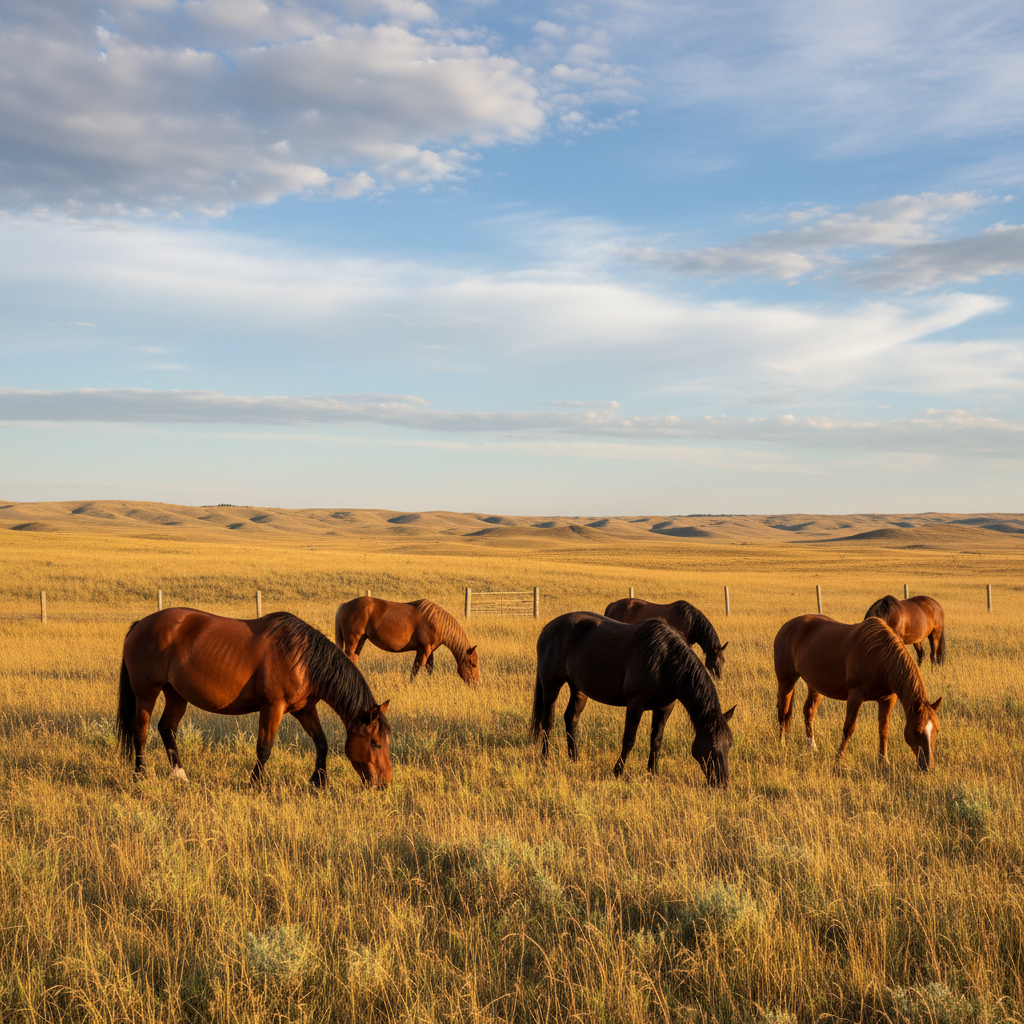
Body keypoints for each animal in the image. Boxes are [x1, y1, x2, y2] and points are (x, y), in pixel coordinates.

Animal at [117, 609, 392, 788]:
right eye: (376, 744)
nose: (385, 783)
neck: (302, 658)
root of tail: (141, 624)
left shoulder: (304, 710)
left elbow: (321, 742)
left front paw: (319, 781)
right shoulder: (272, 708)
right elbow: (264, 748)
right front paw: (254, 784)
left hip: (176, 695)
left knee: (167, 728)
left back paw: (180, 776)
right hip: (146, 693)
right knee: (141, 732)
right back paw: (139, 775)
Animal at [335, 597, 479, 683]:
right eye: (473, 665)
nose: (476, 683)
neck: (435, 621)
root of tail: (344, 605)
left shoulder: (429, 651)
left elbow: (429, 668)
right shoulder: (424, 650)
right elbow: (416, 669)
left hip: (360, 641)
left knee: (354, 658)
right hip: (353, 640)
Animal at [530, 612, 736, 786]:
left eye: (729, 745)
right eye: (713, 747)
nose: (723, 783)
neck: (663, 661)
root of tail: (548, 628)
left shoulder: (664, 707)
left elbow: (656, 740)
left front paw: (653, 772)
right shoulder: (635, 704)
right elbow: (629, 740)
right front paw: (617, 772)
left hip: (578, 688)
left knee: (571, 718)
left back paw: (574, 758)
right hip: (551, 685)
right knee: (547, 721)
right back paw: (545, 758)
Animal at [774, 614, 942, 770]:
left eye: (937, 730)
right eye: (917, 730)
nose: (928, 766)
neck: (878, 656)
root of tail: (787, 626)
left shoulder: (888, 699)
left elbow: (883, 730)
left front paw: (883, 760)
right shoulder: (855, 696)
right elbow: (848, 728)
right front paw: (839, 758)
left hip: (815, 686)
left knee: (808, 711)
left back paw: (811, 748)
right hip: (786, 680)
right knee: (783, 712)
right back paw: (781, 744)